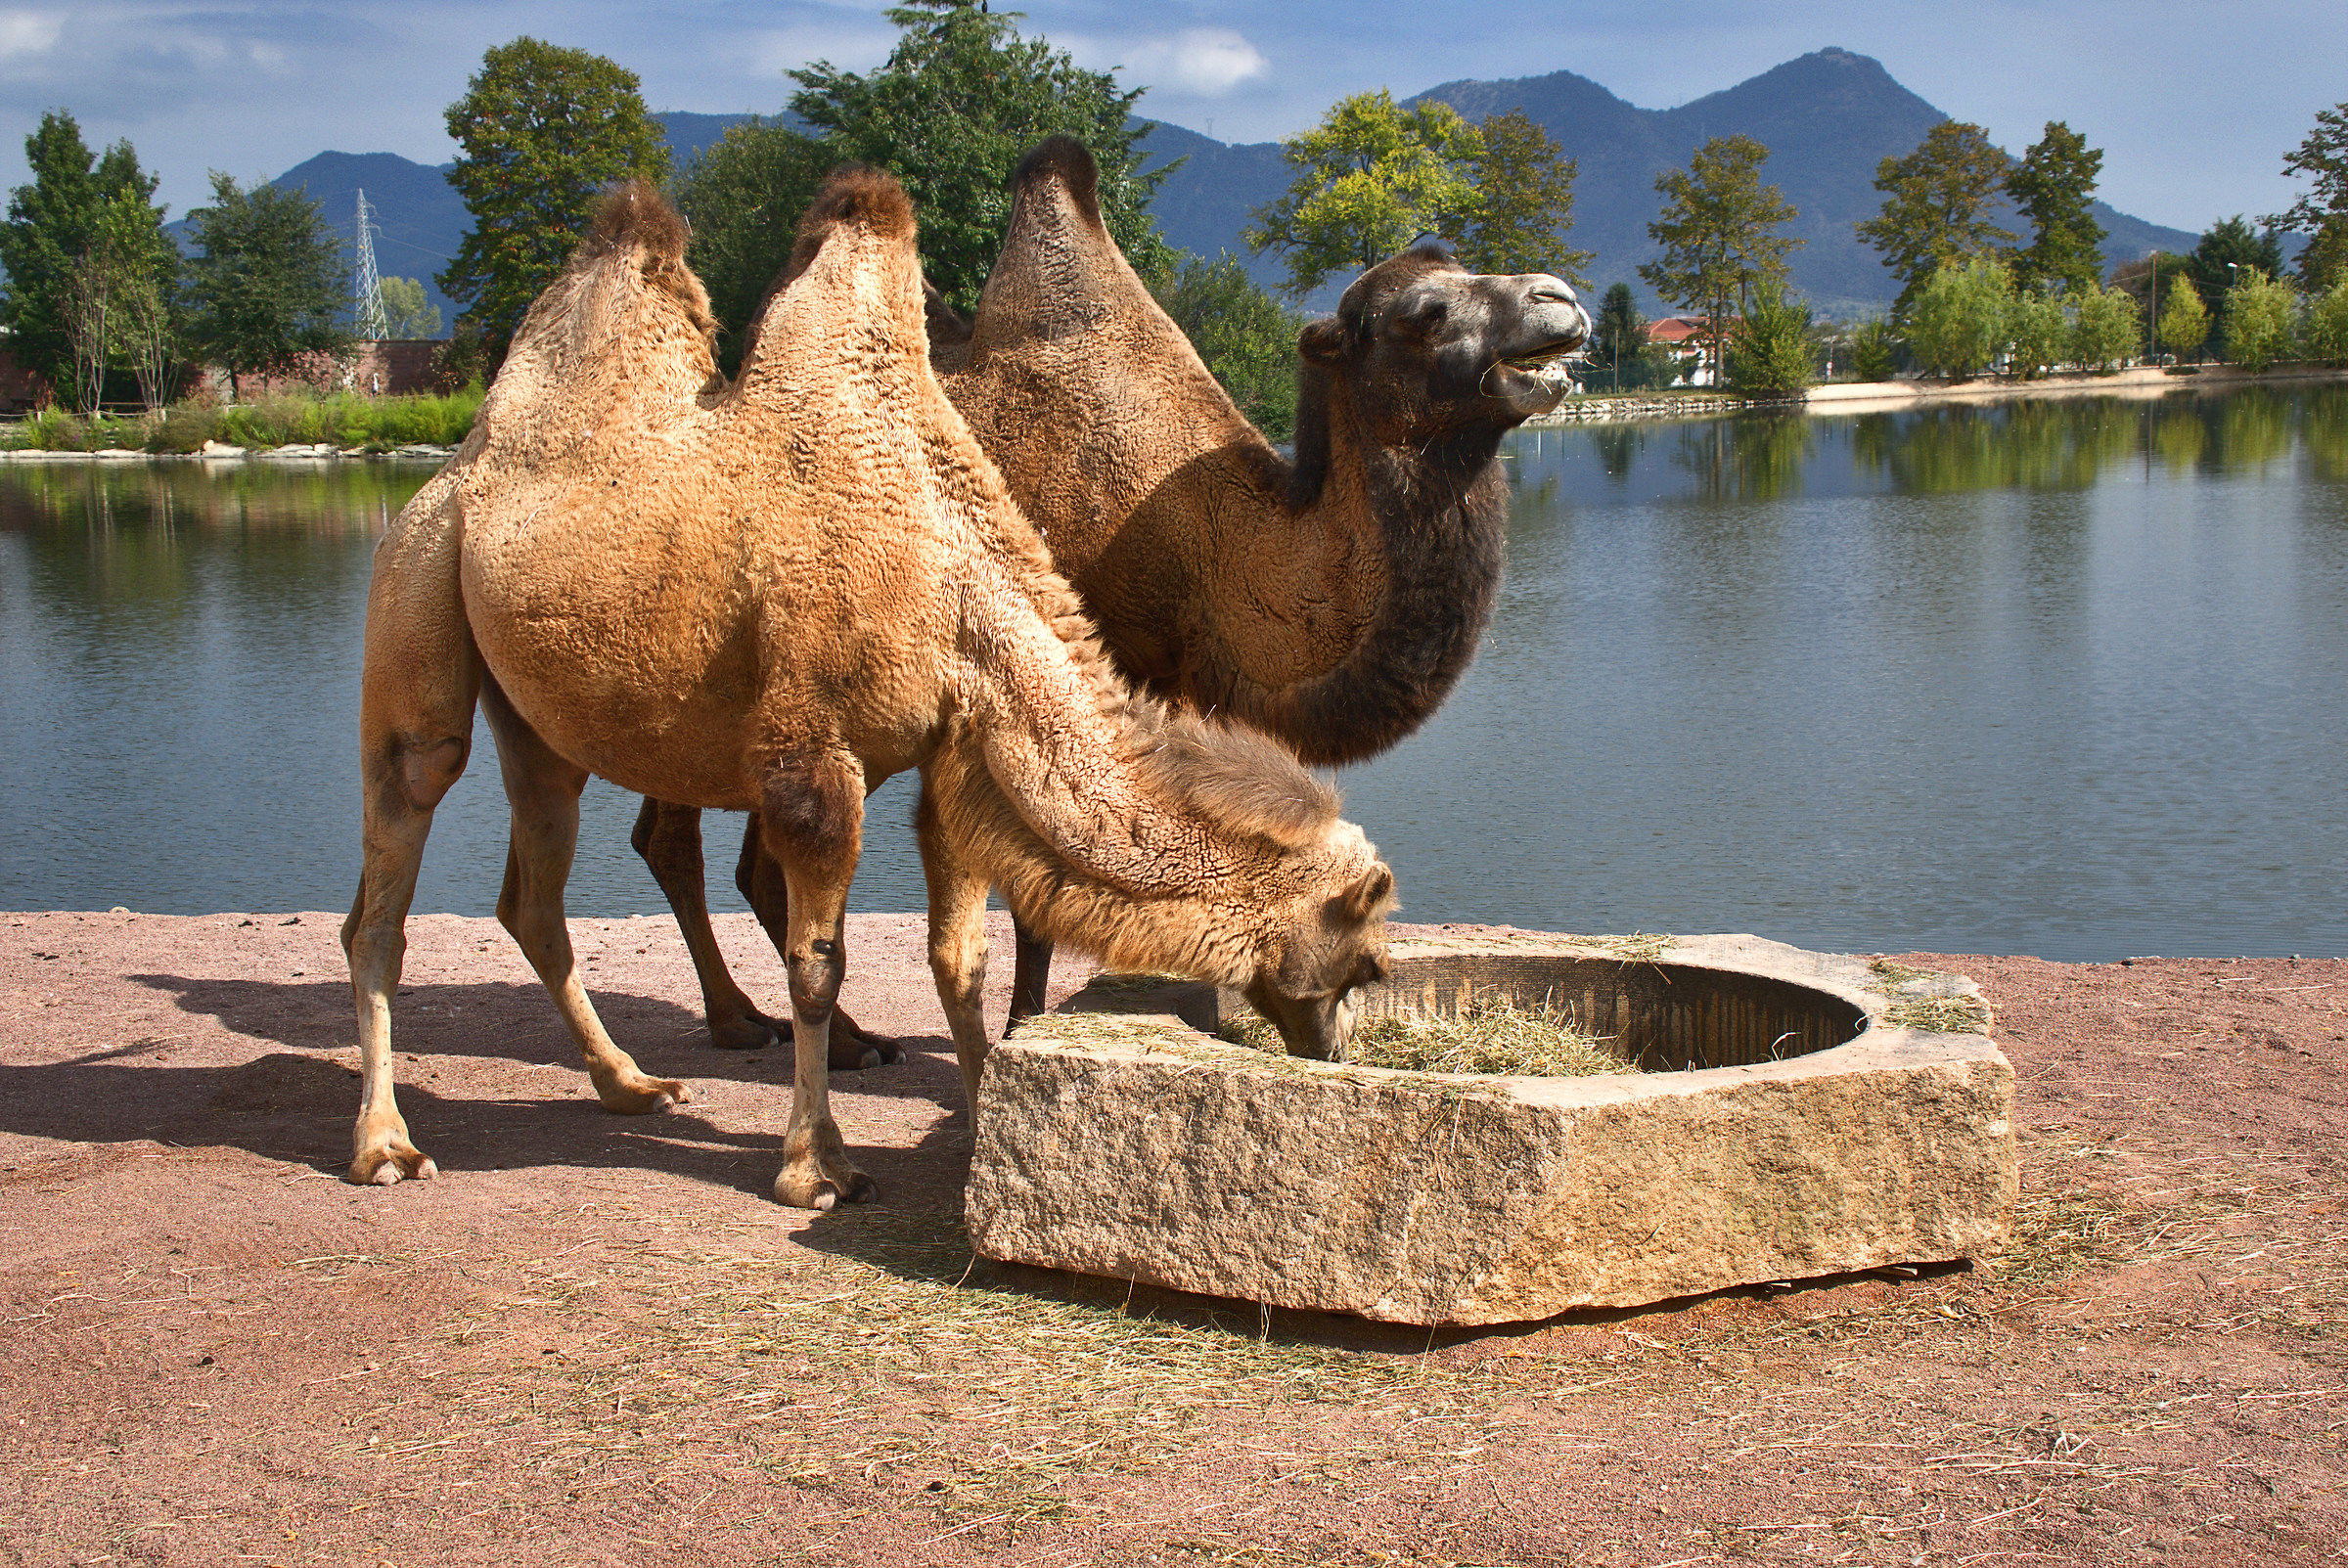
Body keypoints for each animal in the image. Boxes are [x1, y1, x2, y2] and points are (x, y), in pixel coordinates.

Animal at [340, 169, 1396, 1208]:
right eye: (1365, 960)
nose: (1333, 1052)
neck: (952, 578)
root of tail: (459, 462)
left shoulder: (957, 752)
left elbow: (959, 959)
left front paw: (975, 1122)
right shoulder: (814, 764)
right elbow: (819, 968)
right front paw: (818, 1165)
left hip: (539, 714)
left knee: (533, 895)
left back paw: (629, 1084)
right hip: (417, 586)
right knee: (390, 871)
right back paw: (387, 1144)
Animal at [635, 135, 1588, 1044]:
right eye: (1421, 316)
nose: (1560, 300)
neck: (1218, 552)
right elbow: (1039, 896)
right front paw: (1022, 1027)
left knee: (680, 836)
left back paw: (755, 1020)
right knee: (729, 853)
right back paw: (805, 1035)